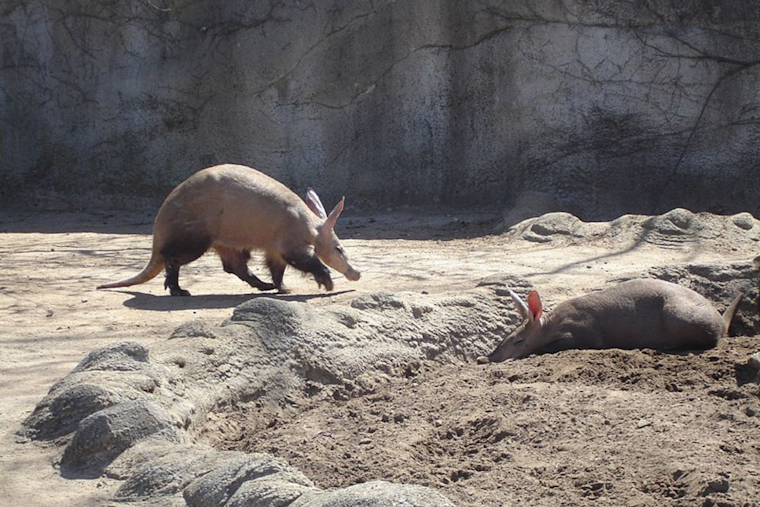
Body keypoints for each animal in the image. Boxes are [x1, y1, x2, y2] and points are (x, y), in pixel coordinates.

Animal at [97, 164, 360, 296]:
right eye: (339, 248)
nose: (356, 273)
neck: (310, 226)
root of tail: (158, 233)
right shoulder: (290, 241)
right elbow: (304, 260)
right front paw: (327, 282)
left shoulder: (274, 247)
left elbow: (277, 268)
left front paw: (282, 288)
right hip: (195, 237)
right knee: (172, 258)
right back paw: (177, 289)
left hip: (226, 241)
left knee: (235, 265)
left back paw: (263, 286)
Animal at [478, 279, 742, 362]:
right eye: (505, 337)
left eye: (519, 341)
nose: (489, 358)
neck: (552, 324)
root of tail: (721, 320)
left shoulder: (584, 333)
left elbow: (548, 347)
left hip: (679, 314)